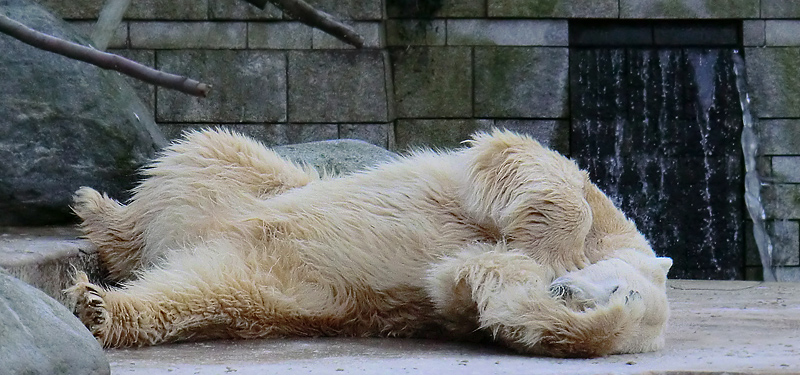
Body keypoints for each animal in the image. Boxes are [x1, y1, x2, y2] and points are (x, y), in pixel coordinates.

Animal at [67, 129, 668, 358]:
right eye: (623, 288)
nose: (565, 291)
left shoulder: (460, 298)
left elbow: (475, 290)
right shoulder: (600, 205)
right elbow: (528, 165)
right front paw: (547, 253)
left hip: (281, 285)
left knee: (198, 291)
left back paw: (100, 308)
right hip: (247, 183)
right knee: (205, 152)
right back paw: (97, 211)